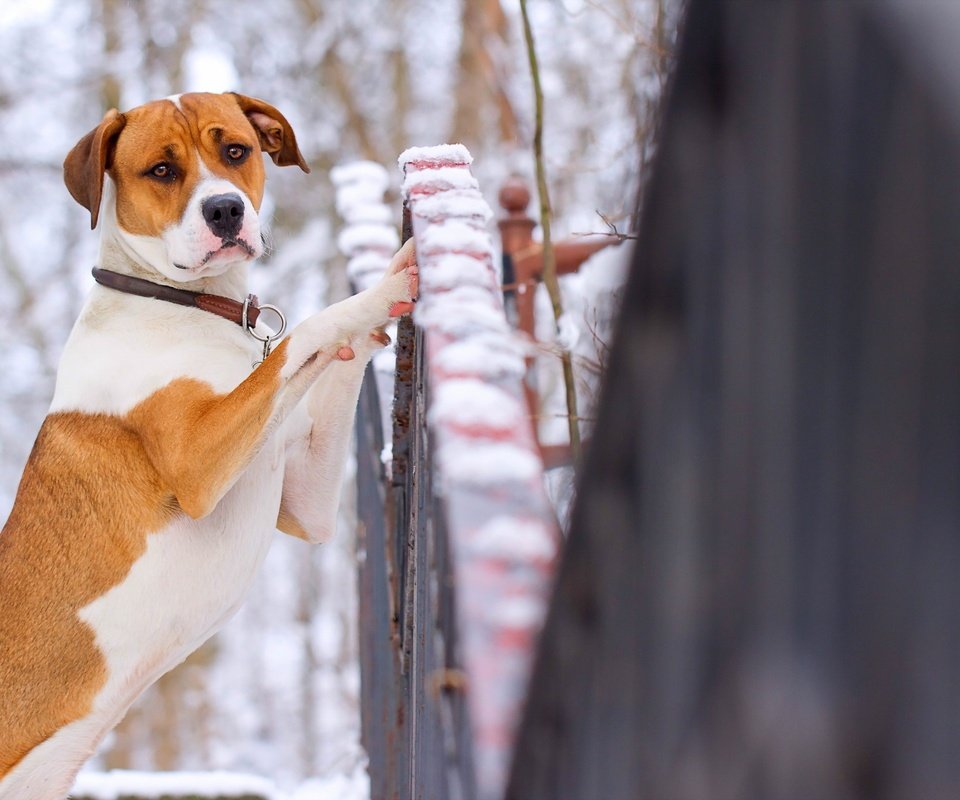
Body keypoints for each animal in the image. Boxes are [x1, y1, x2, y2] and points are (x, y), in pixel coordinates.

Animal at [0, 90, 416, 796]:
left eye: (236, 151)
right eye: (162, 170)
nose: (225, 209)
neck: (183, 302)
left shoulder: (305, 500)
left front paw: (390, 277)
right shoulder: (201, 464)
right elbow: (306, 331)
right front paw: (381, 293)